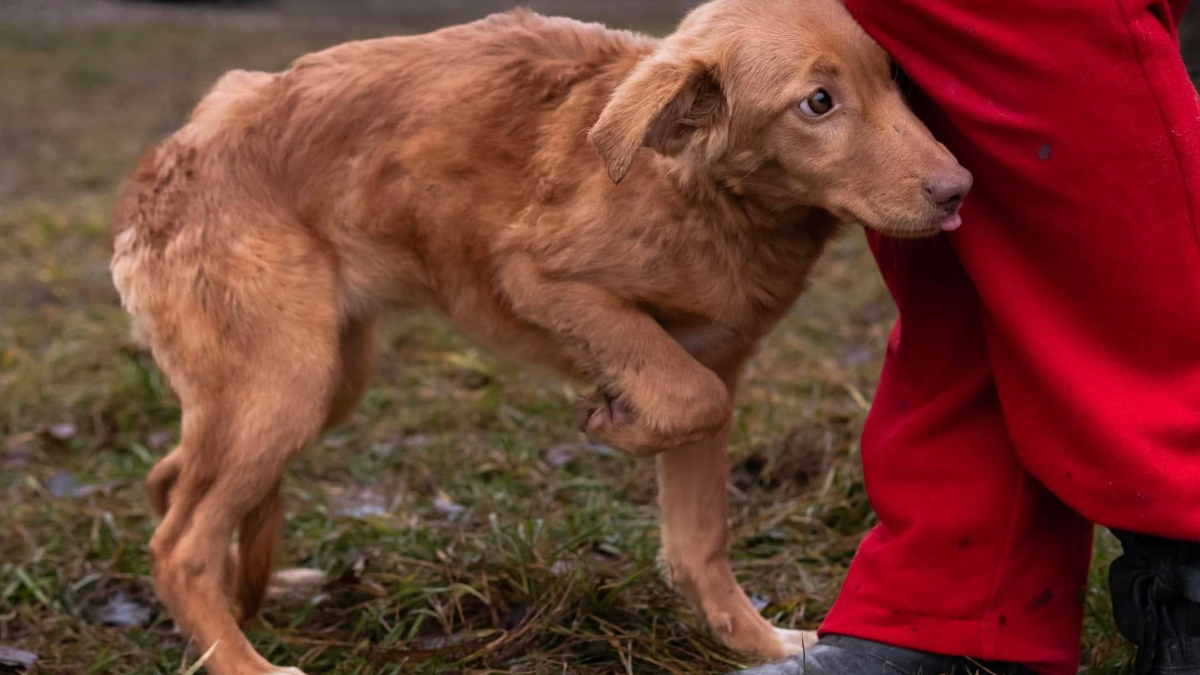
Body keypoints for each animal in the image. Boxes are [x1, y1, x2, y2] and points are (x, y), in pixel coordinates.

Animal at [110, 0, 974, 667]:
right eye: (817, 103)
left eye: (893, 78)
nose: (960, 190)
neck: (698, 189)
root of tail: (171, 157)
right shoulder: (538, 275)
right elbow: (688, 397)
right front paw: (615, 418)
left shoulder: (720, 354)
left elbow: (700, 533)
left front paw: (758, 643)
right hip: (284, 381)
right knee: (178, 544)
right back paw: (242, 659)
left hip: (316, 378)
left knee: (171, 482)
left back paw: (255, 593)